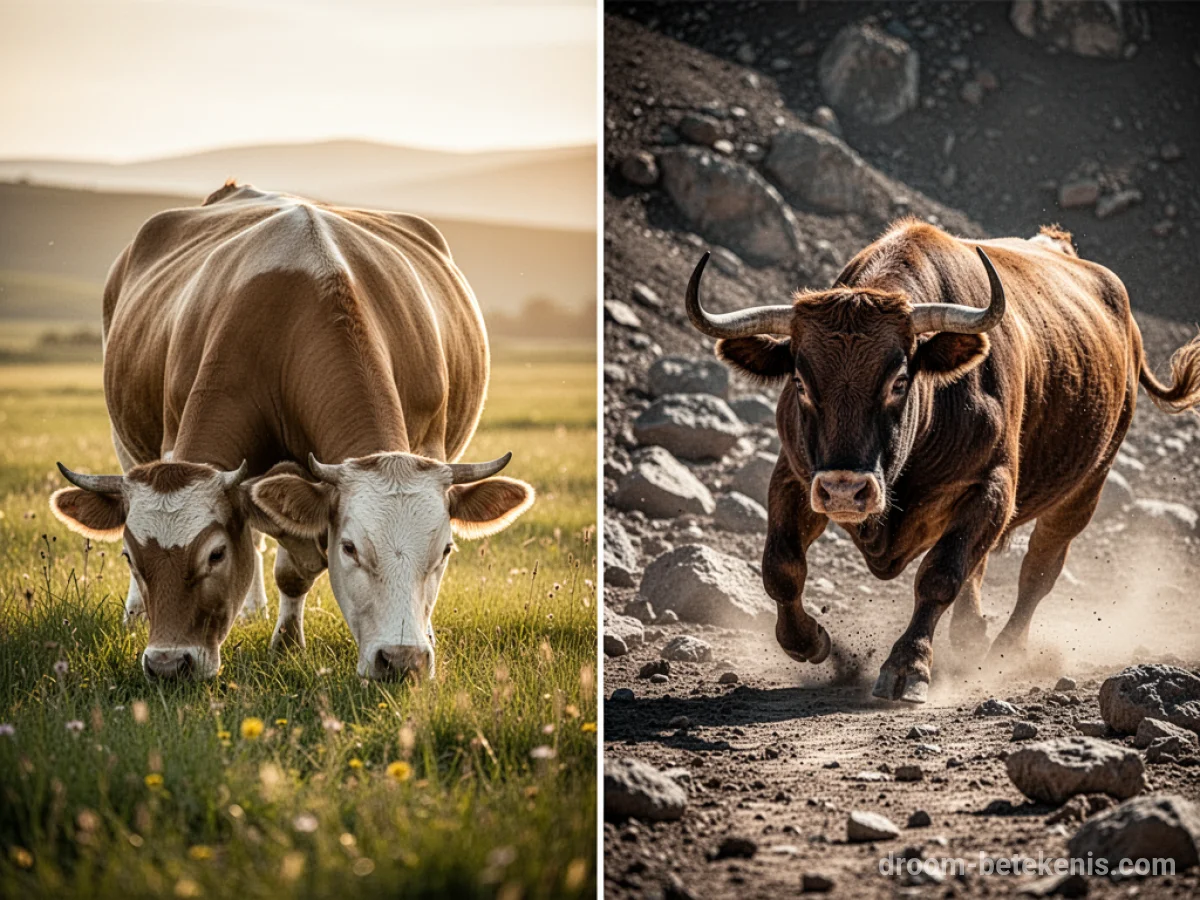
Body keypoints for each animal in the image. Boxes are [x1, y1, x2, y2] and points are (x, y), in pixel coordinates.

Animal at [50, 182, 534, 682]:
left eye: (445, 550)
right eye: (350, 548)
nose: (168, 664)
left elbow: (295, 567)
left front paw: (288, 642)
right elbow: (286, 563)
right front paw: (284, 643)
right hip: (124, 441)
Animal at [683, 220, 1200, 702]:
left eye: (898, 380)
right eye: (800, 382)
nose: (846, 491)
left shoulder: (990, 487)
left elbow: (940, 575)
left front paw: (907, 666)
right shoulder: (795, 477)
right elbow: (782, 566)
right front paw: (811, 641)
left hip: (1086, 487)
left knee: (1038, 571)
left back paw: (1006, 651)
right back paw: (970, 636)